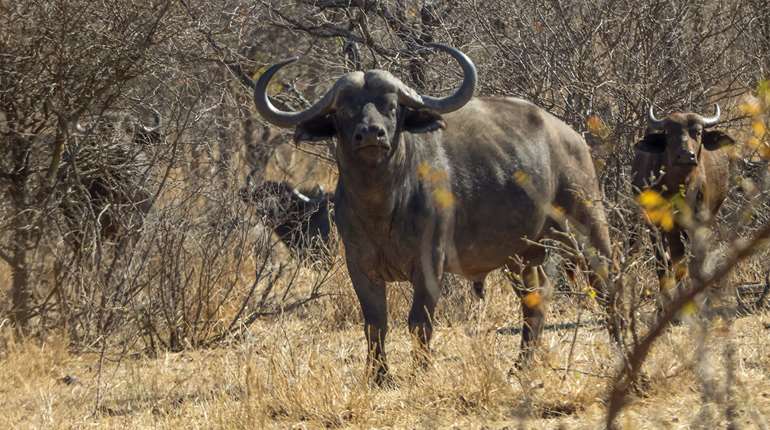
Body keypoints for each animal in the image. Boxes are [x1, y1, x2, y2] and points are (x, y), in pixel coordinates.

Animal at [247, 44, 616, 385]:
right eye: (344, 110)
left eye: (391, 106)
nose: (371, 134)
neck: (383, 206)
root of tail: (572, 137)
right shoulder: (360, 266)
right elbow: (375, 323)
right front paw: (378, 376)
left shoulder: (429, 264)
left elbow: (418, 322)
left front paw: (420, 371)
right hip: (520, 254)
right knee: (535, 299)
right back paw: (520, 367)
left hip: (586, 226)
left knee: (607, 283)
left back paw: (619, 346)